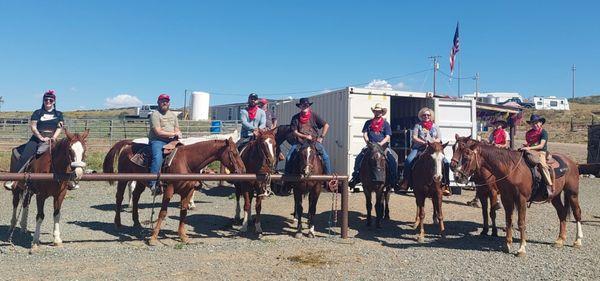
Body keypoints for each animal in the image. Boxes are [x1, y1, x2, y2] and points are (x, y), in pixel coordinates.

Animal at [103, 137, 246, 242]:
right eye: (234, 153)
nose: (243, 170)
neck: (187, 161)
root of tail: (129, 144)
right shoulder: (169, 190)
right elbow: (163, 212)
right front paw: (153, 237)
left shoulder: (187, 191)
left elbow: (183, 212)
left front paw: (183, 236)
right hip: (123, 178)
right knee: (119, 197)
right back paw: (117, 223)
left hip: (141, 182)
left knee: (136, 196)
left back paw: (137, 222)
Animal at [452, 136, 584, 256]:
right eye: (454, 148)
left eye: (467, 156)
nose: (457, 176)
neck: (511, 169)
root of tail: (571, 162)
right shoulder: (505, 198)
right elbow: (507, 220)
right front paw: (507, 244)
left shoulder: (520, 199)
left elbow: (520, 222)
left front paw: (521, 248)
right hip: (554, 196)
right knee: (562, 213)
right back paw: (560, 240)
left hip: (572, 193)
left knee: (577, 213)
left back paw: (577, 241)